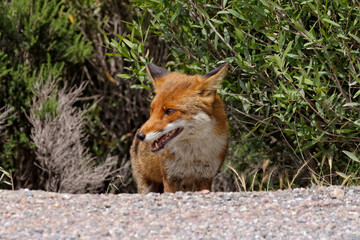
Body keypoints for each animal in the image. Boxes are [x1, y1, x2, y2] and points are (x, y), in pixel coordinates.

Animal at [131, 62, 229, 193]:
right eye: (152, 109)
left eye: (169, 111)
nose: (140, 136)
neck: (192, 156)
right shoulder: (170, 177)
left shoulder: (205, 177)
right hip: (146, 186)